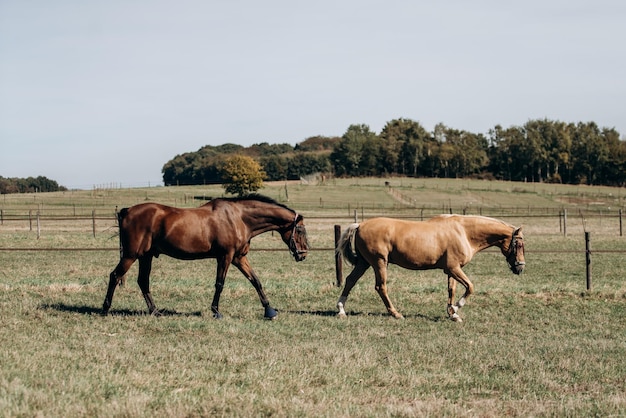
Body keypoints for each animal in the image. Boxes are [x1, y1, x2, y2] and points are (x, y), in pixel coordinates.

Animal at [101, 194, 308, 318]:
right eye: (300, 230)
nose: (303, 254)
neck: (238, 218)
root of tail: (127, 211)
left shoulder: (238, 258)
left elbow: (255, 281)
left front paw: (270, 310)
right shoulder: (225, 257)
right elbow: (220, 284)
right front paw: (216, 312)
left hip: (146, 256)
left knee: (143, 281)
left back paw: (155, 311)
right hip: (131, 255)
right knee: (115, 276)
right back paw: (105, 309)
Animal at [336, 214, 520, 322]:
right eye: (519, 244)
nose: (520, 267)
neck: (464, 232)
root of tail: (360, 225)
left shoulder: (452, 270)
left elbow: (452, 290)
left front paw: (453, 314)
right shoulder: (454, 269)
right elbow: (470, 287)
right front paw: (455, 308)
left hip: (364, 263)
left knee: (350, 281)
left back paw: (341, 310)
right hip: (379, 263)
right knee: (381, 287)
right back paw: (395, 313)